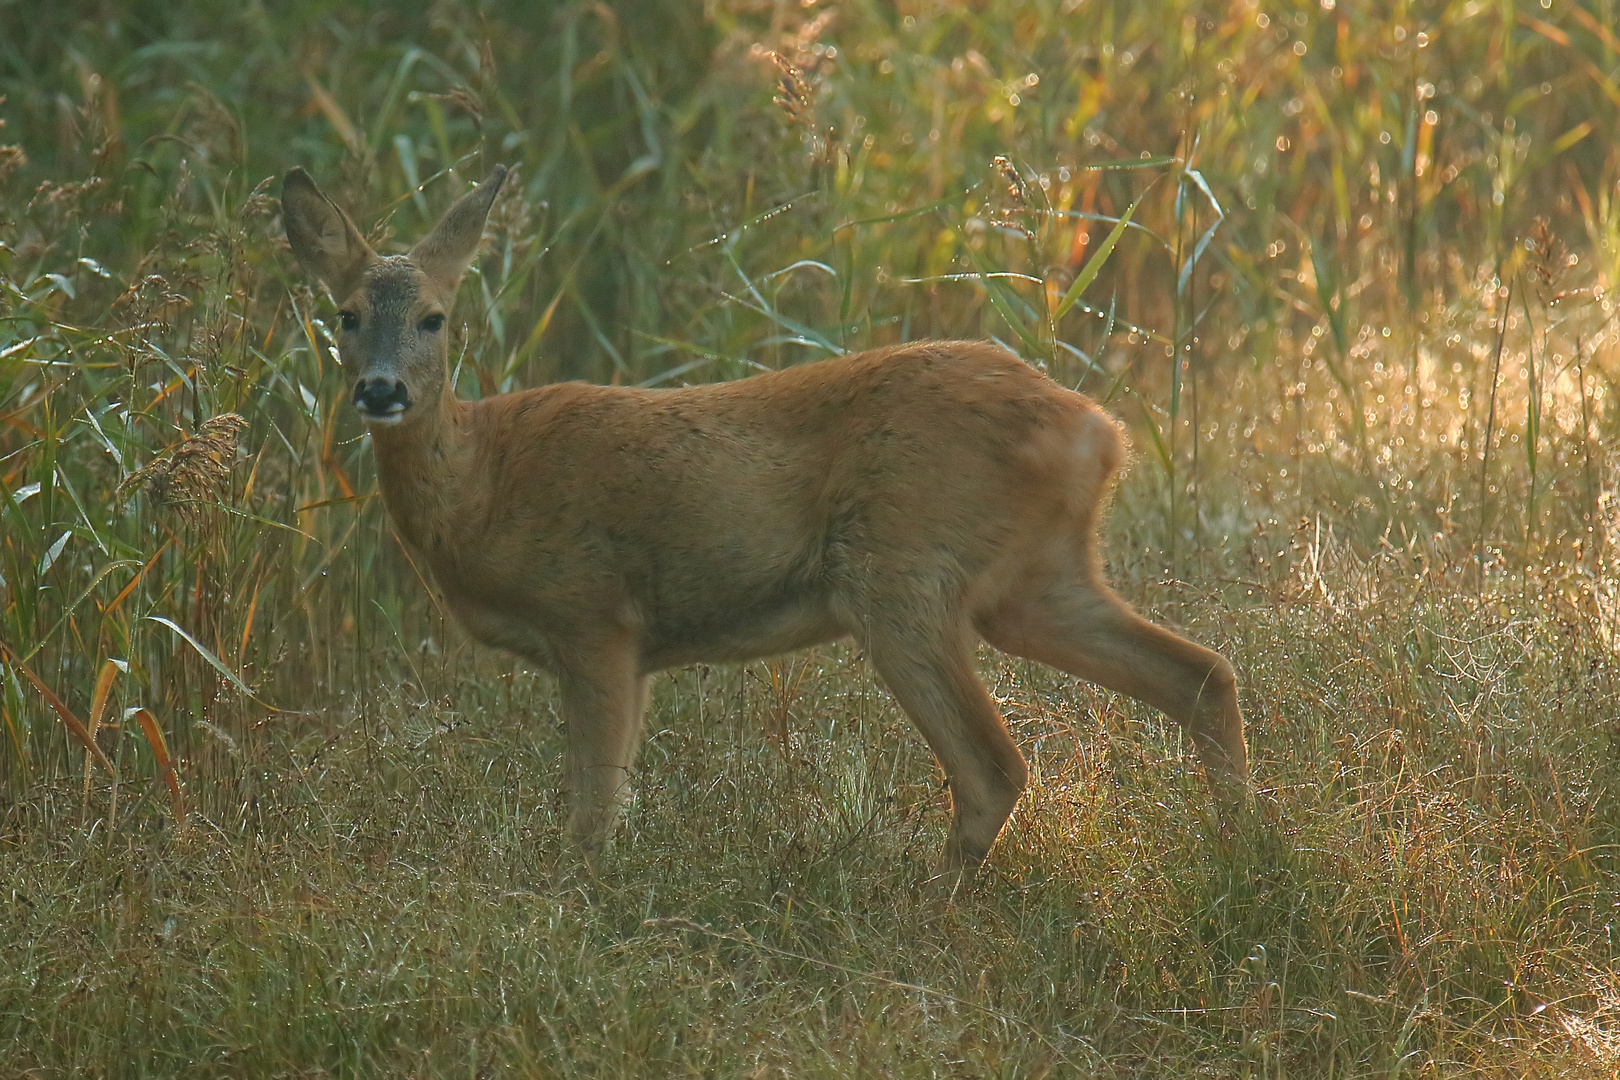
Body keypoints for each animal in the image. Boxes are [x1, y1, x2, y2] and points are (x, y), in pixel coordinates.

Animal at [285, 162, 1244, 887]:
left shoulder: (596, 617)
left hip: (900, 573)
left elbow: (594, 812)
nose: (381, 389)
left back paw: (926, 905)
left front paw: (578, 901)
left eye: (433, 318)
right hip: (1035, 579)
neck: (483, 482)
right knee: (1200, 671)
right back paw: (1244, 847)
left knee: (993, 766)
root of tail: (1097, 430)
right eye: (344, 315)